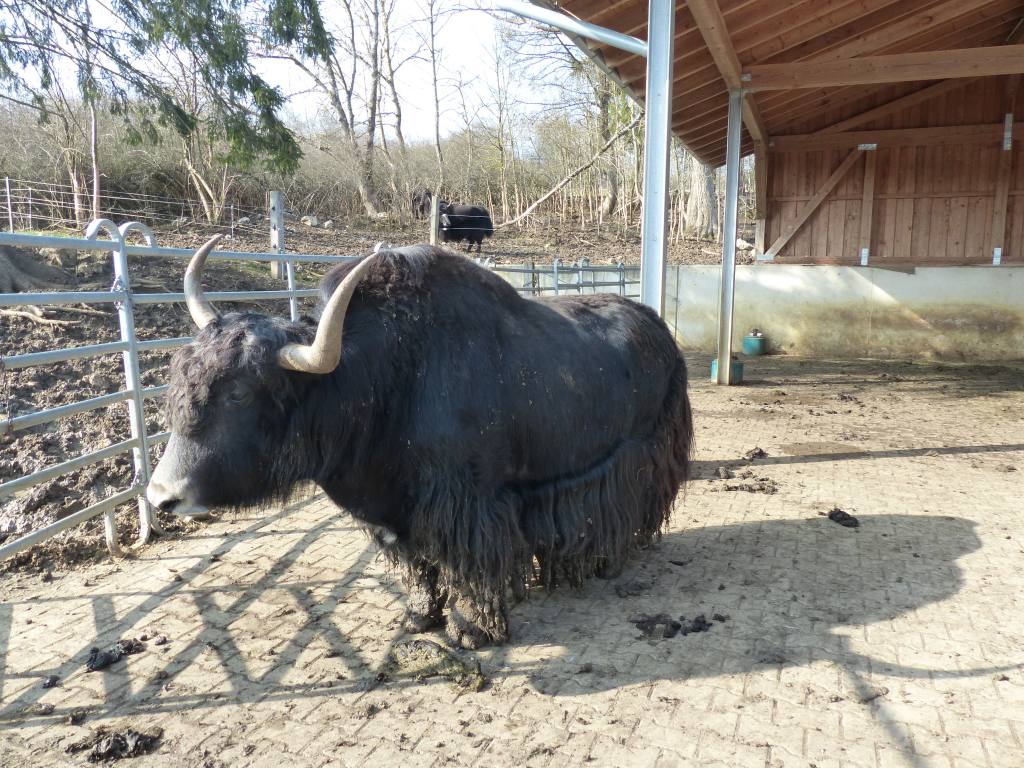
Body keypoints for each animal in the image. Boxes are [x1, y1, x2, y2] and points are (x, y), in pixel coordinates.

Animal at [147, 235, 693, 649]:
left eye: (240, 392)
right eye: (181, 375)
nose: (160, 496)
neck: (381, 379)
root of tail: (658, 326)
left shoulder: (468, 504)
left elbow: (466, 565)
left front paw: (473, 631)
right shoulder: (394, 514)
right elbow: (416, 567)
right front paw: (419, 618)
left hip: (645, 446)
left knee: (636, 500)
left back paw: (614, 560)